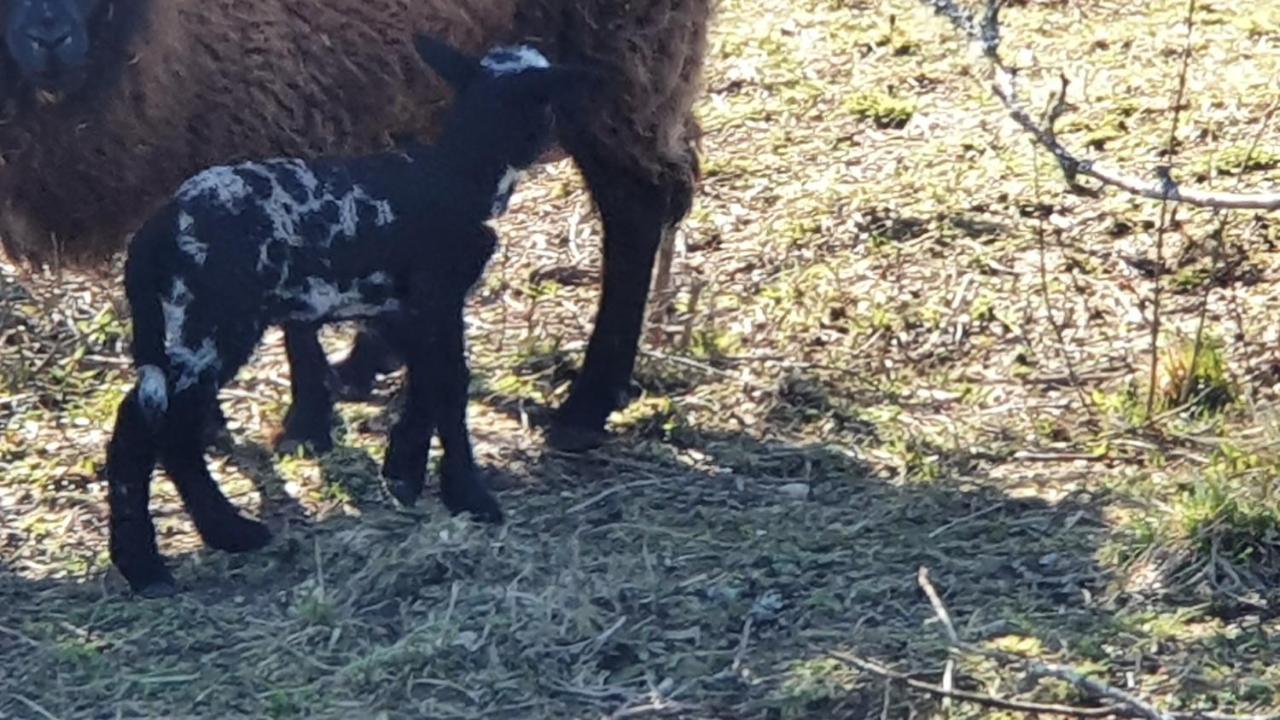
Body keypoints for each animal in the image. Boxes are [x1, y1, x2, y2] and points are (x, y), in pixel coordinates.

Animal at [0, 0, 711, 448]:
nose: (47, 39)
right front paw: (206, 418)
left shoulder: (265, 114)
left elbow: (291, 308)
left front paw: (304, 425)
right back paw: (371, 359)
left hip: (621, 56)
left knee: (637, 206)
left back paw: (588, 404)